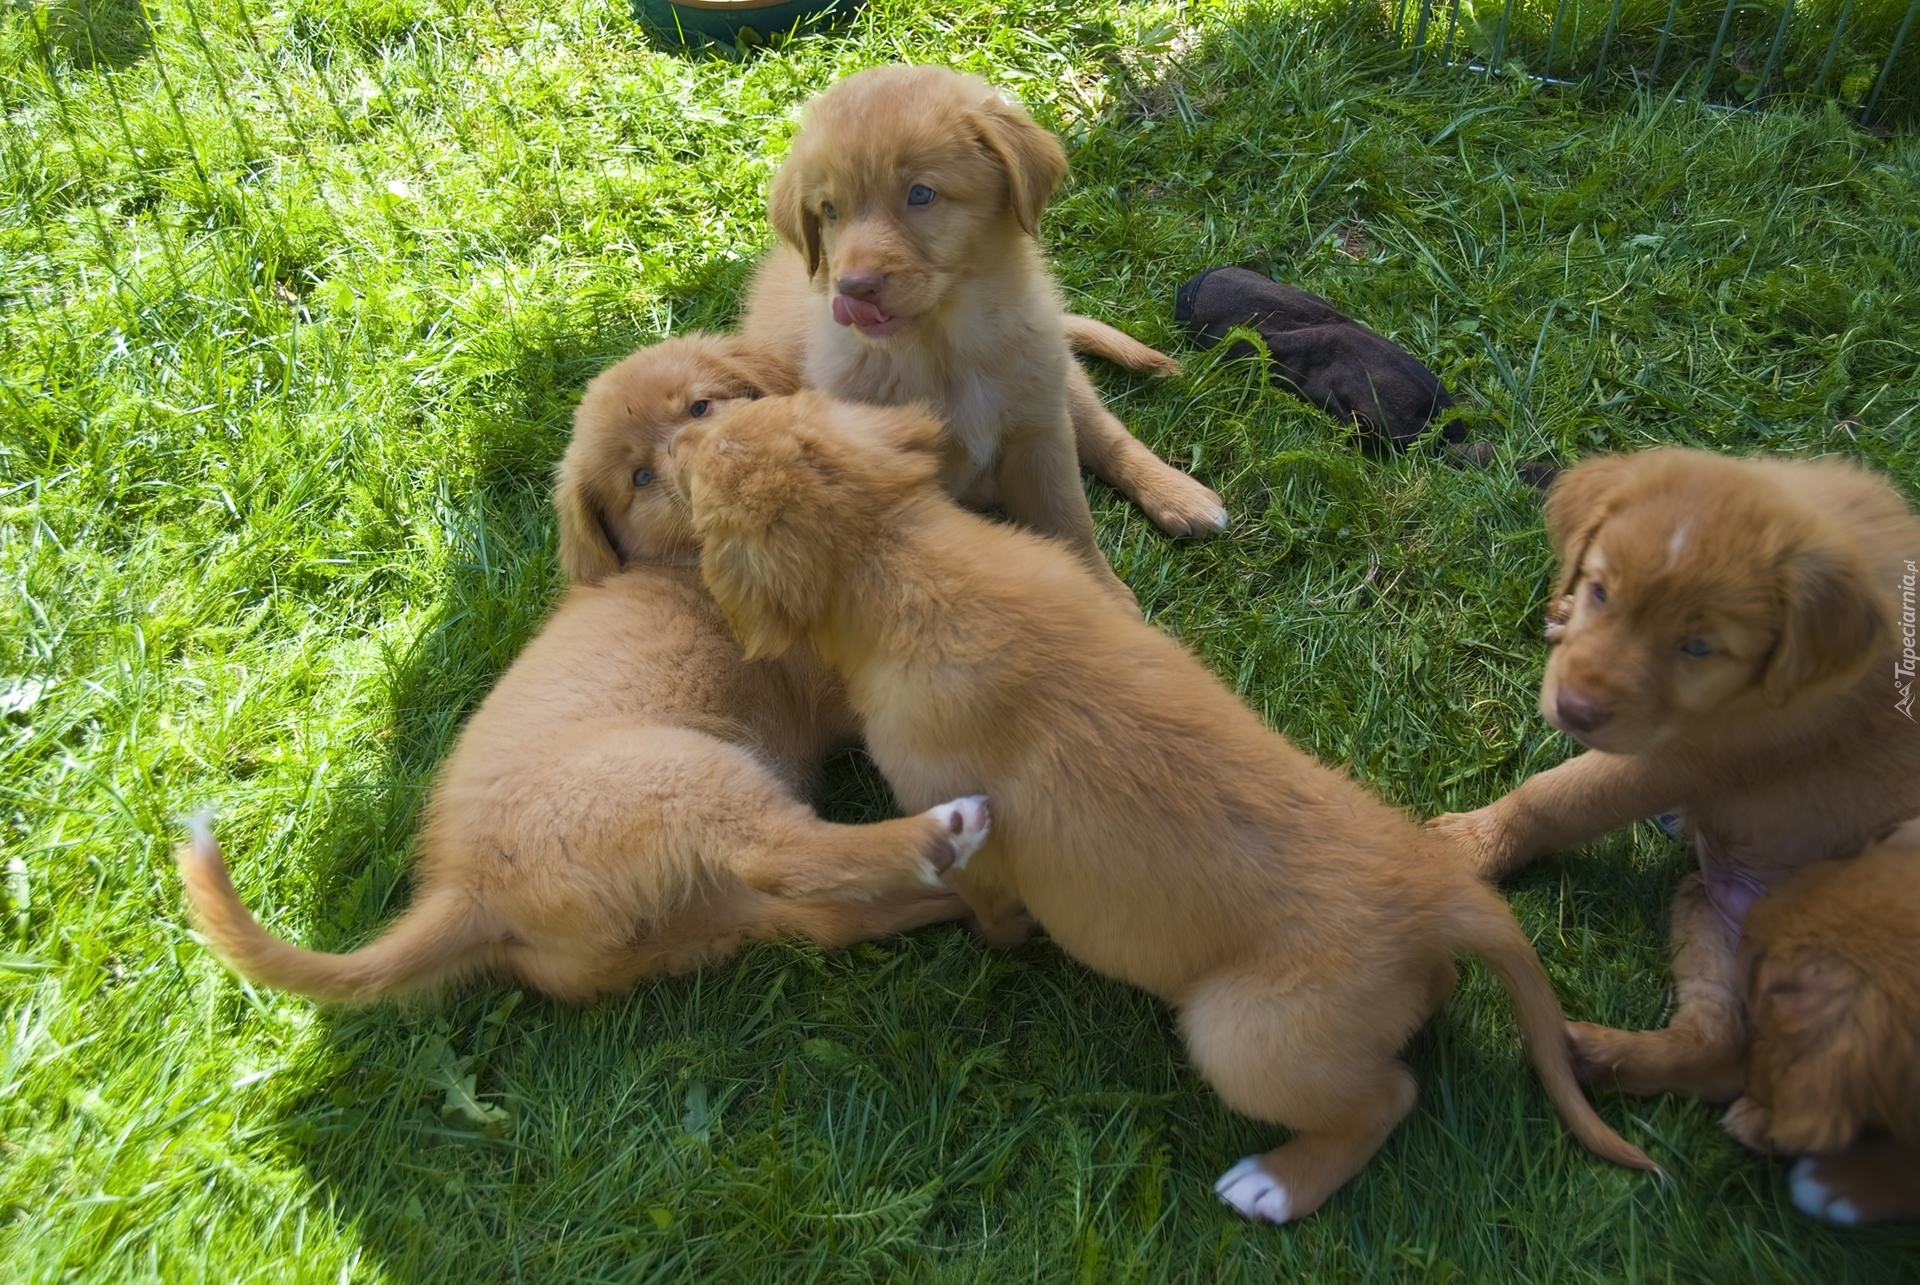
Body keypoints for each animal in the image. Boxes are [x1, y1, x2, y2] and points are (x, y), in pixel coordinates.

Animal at [176, 338, 990, 998]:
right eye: (640, 478)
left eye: (701, 404)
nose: (699, 454)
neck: (681, 565)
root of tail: (470, 893)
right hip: (677, 773)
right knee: (786, 856)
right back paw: (943, 833)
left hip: (690, 925)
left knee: (821, 918)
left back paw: (956, 899)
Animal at [664, 387, 1651, 1221]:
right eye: (733, 412)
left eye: (701, 464)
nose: (675, 432)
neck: (898, 553)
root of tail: (1443, 898)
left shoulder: (958, 817)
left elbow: (988, 904)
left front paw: (975, 926)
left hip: (1241, 1034)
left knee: (1389, 1096)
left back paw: (1276, 1183)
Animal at [741, 67, 1221, 610]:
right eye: (828, 211)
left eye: (921, 194)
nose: (853, 289)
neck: (946, 344)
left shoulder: (1041, 435)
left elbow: (1069, 521)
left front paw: (1101, 600)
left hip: (1059, 383)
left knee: (1108, 438)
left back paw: (1181, 496)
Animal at [1428, 445, 1920, 1098]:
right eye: (1601, 590)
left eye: (1699, 647)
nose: (1575, 709)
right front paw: (1564, 613)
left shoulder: (1688, 756)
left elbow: (1557, 796)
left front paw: (1468, 844)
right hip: (1708, 909)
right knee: (1719, 1049)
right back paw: (1592, 1054)